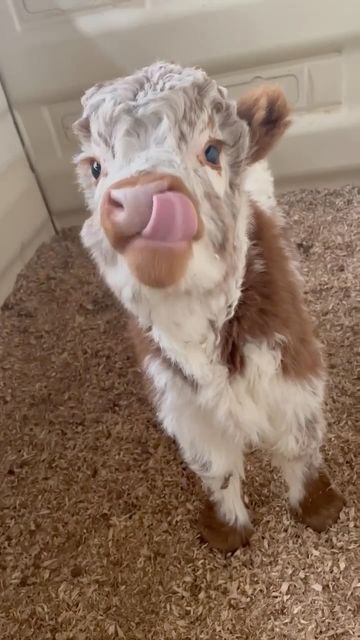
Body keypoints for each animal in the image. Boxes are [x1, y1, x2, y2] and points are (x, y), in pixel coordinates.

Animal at [73, 62, 344, 552]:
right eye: (96, 167)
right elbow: (216, 468)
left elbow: (298, 443)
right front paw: (227, 530)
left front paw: (318, 508)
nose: (140, 199)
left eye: (212, 151)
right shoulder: (180, 399)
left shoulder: (293, 366)